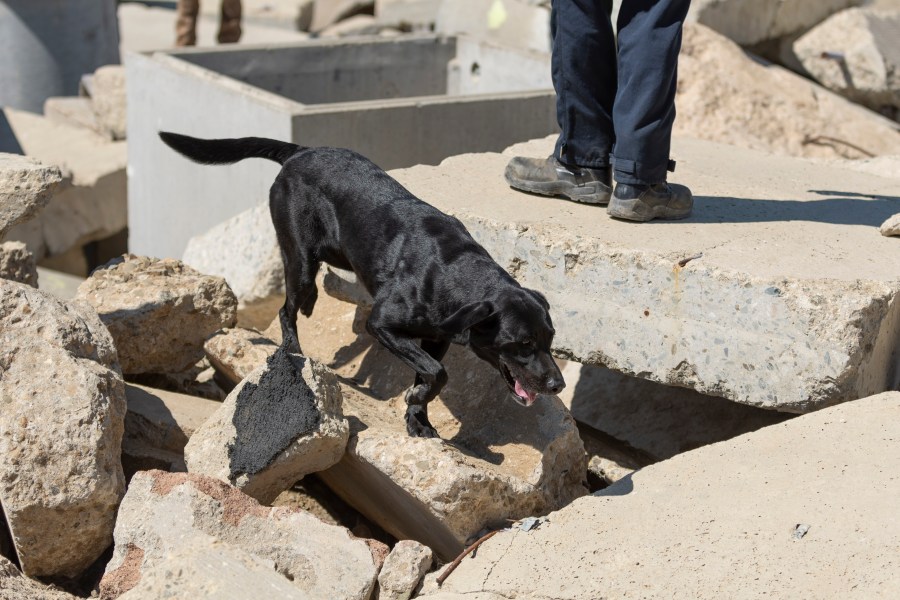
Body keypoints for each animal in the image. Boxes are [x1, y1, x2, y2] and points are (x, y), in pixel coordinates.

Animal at [156, 134, 564, 438]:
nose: (558, 385)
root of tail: (300, 151)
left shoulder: (437, 339)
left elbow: (430, 372)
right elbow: (437, 373)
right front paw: (416, 398)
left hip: (335, 252)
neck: (456, 272)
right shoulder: (381, 324)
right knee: (287, 308)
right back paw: (294, 347)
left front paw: (418, 418)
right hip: (300, 259)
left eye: (550, 340)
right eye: (523, 344)